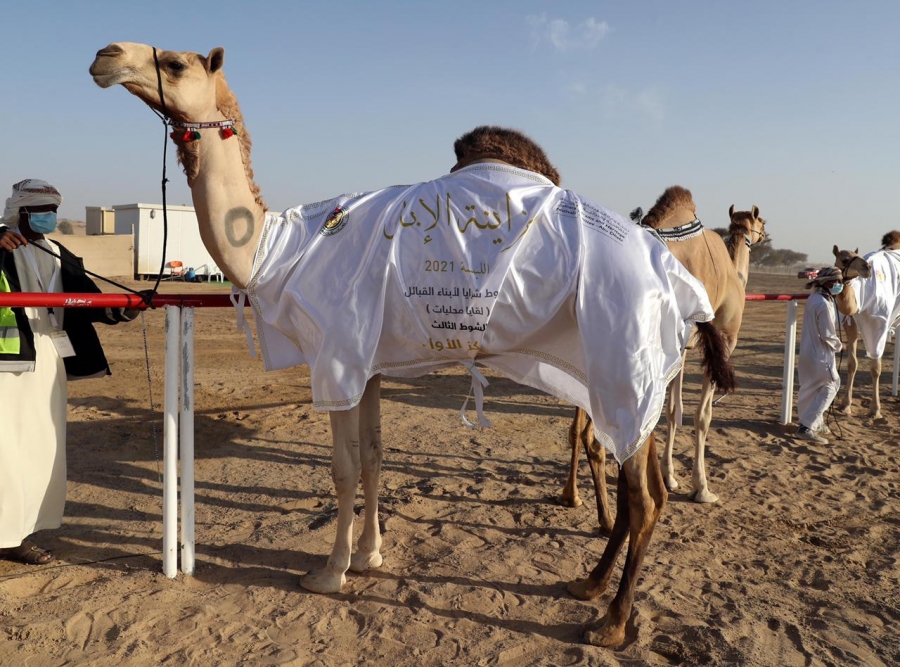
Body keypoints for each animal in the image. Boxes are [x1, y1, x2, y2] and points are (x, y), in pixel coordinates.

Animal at [91, 41, 740, 648]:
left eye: (175, 63)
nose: (106, 56)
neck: (279, 249)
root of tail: (677, 280)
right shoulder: (371, 364)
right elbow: (375, 456)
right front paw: (370, 554)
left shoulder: (336, 358)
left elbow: (344, 467)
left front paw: (330, 572)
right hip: (642, 376)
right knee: (645, 490)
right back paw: (589, 584)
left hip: (625, 366)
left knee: (645, 497)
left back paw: (610, 622)